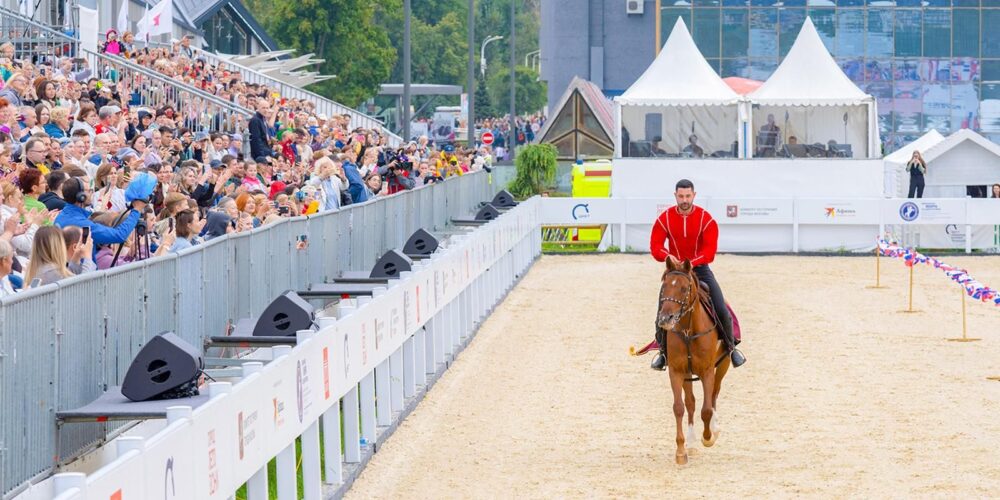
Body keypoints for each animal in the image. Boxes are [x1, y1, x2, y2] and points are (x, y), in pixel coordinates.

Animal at [656, 258, 736, 464]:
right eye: (664, 286)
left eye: (684, 288)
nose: (665, 318)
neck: (688, 331)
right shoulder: (676, 371)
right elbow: (679, 407)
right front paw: (681, 451)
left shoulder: (707, 371)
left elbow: (706, 410)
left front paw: (708, 437)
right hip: (687, 374)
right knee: (690, 402)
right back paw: (691, 443)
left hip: (723, 364)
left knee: (714, 393)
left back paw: (714, 429)